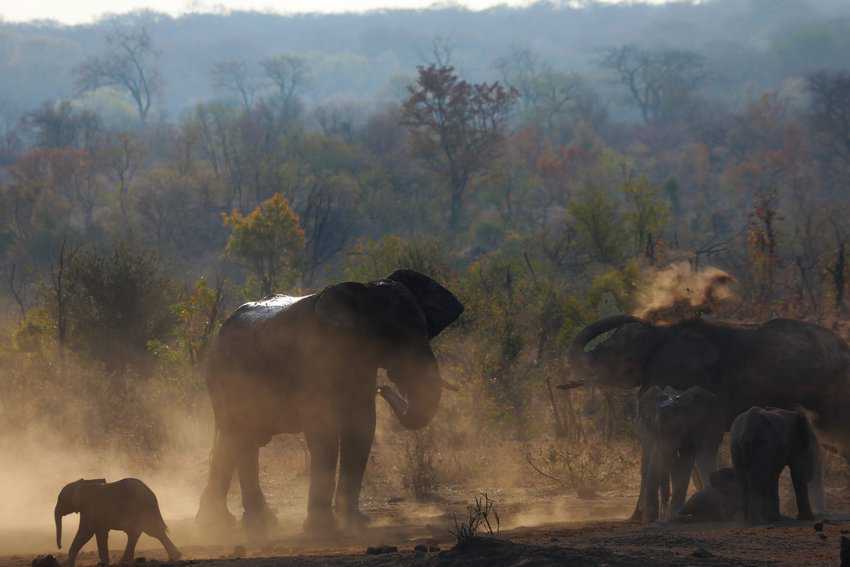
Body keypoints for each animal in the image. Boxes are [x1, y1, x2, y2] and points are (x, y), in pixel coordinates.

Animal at [195, 270, 464, 536]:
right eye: (392, 335)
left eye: (426, 330)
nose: (383, 388)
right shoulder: (314, 360)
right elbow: (323, 433)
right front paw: (321, 528)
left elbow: (362, 428)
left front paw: (356, 523)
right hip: (225, 378)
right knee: (240, 437)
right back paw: (247, 524)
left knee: (233, 440)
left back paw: (222, 523)